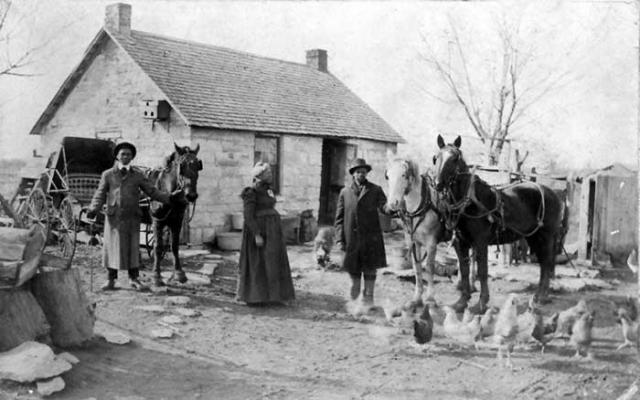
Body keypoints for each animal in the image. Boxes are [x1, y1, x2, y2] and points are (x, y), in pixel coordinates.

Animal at [148, 142, 202, 286]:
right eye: (181, 167)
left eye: (198, 165)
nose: (191, 196)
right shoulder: (157, 221)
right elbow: (157, 246)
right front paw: (156, 275)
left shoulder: (177, 221)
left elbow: (174, 246)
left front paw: (179, 273)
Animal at [384, 157, 450, 306]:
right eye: (388, 176)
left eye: (404, 175)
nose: (392, 205)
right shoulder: (414, 242)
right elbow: (417, 267)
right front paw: (417, 298)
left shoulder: (431, 243)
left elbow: (430, 267)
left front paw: (430, 298)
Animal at [432, 136, 564, 314]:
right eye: (436, 158)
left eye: (455, 158)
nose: (438, 183)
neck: (469, 202)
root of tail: (553, 194)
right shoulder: (461, 243)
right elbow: (464, 270)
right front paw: (461, 302)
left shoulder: (480, 242)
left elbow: (482, 271)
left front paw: (481, 303)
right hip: (533, 237)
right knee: (544, 263)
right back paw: (540, 296)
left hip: (547, 236)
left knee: (546, 263)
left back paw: (541, 296)